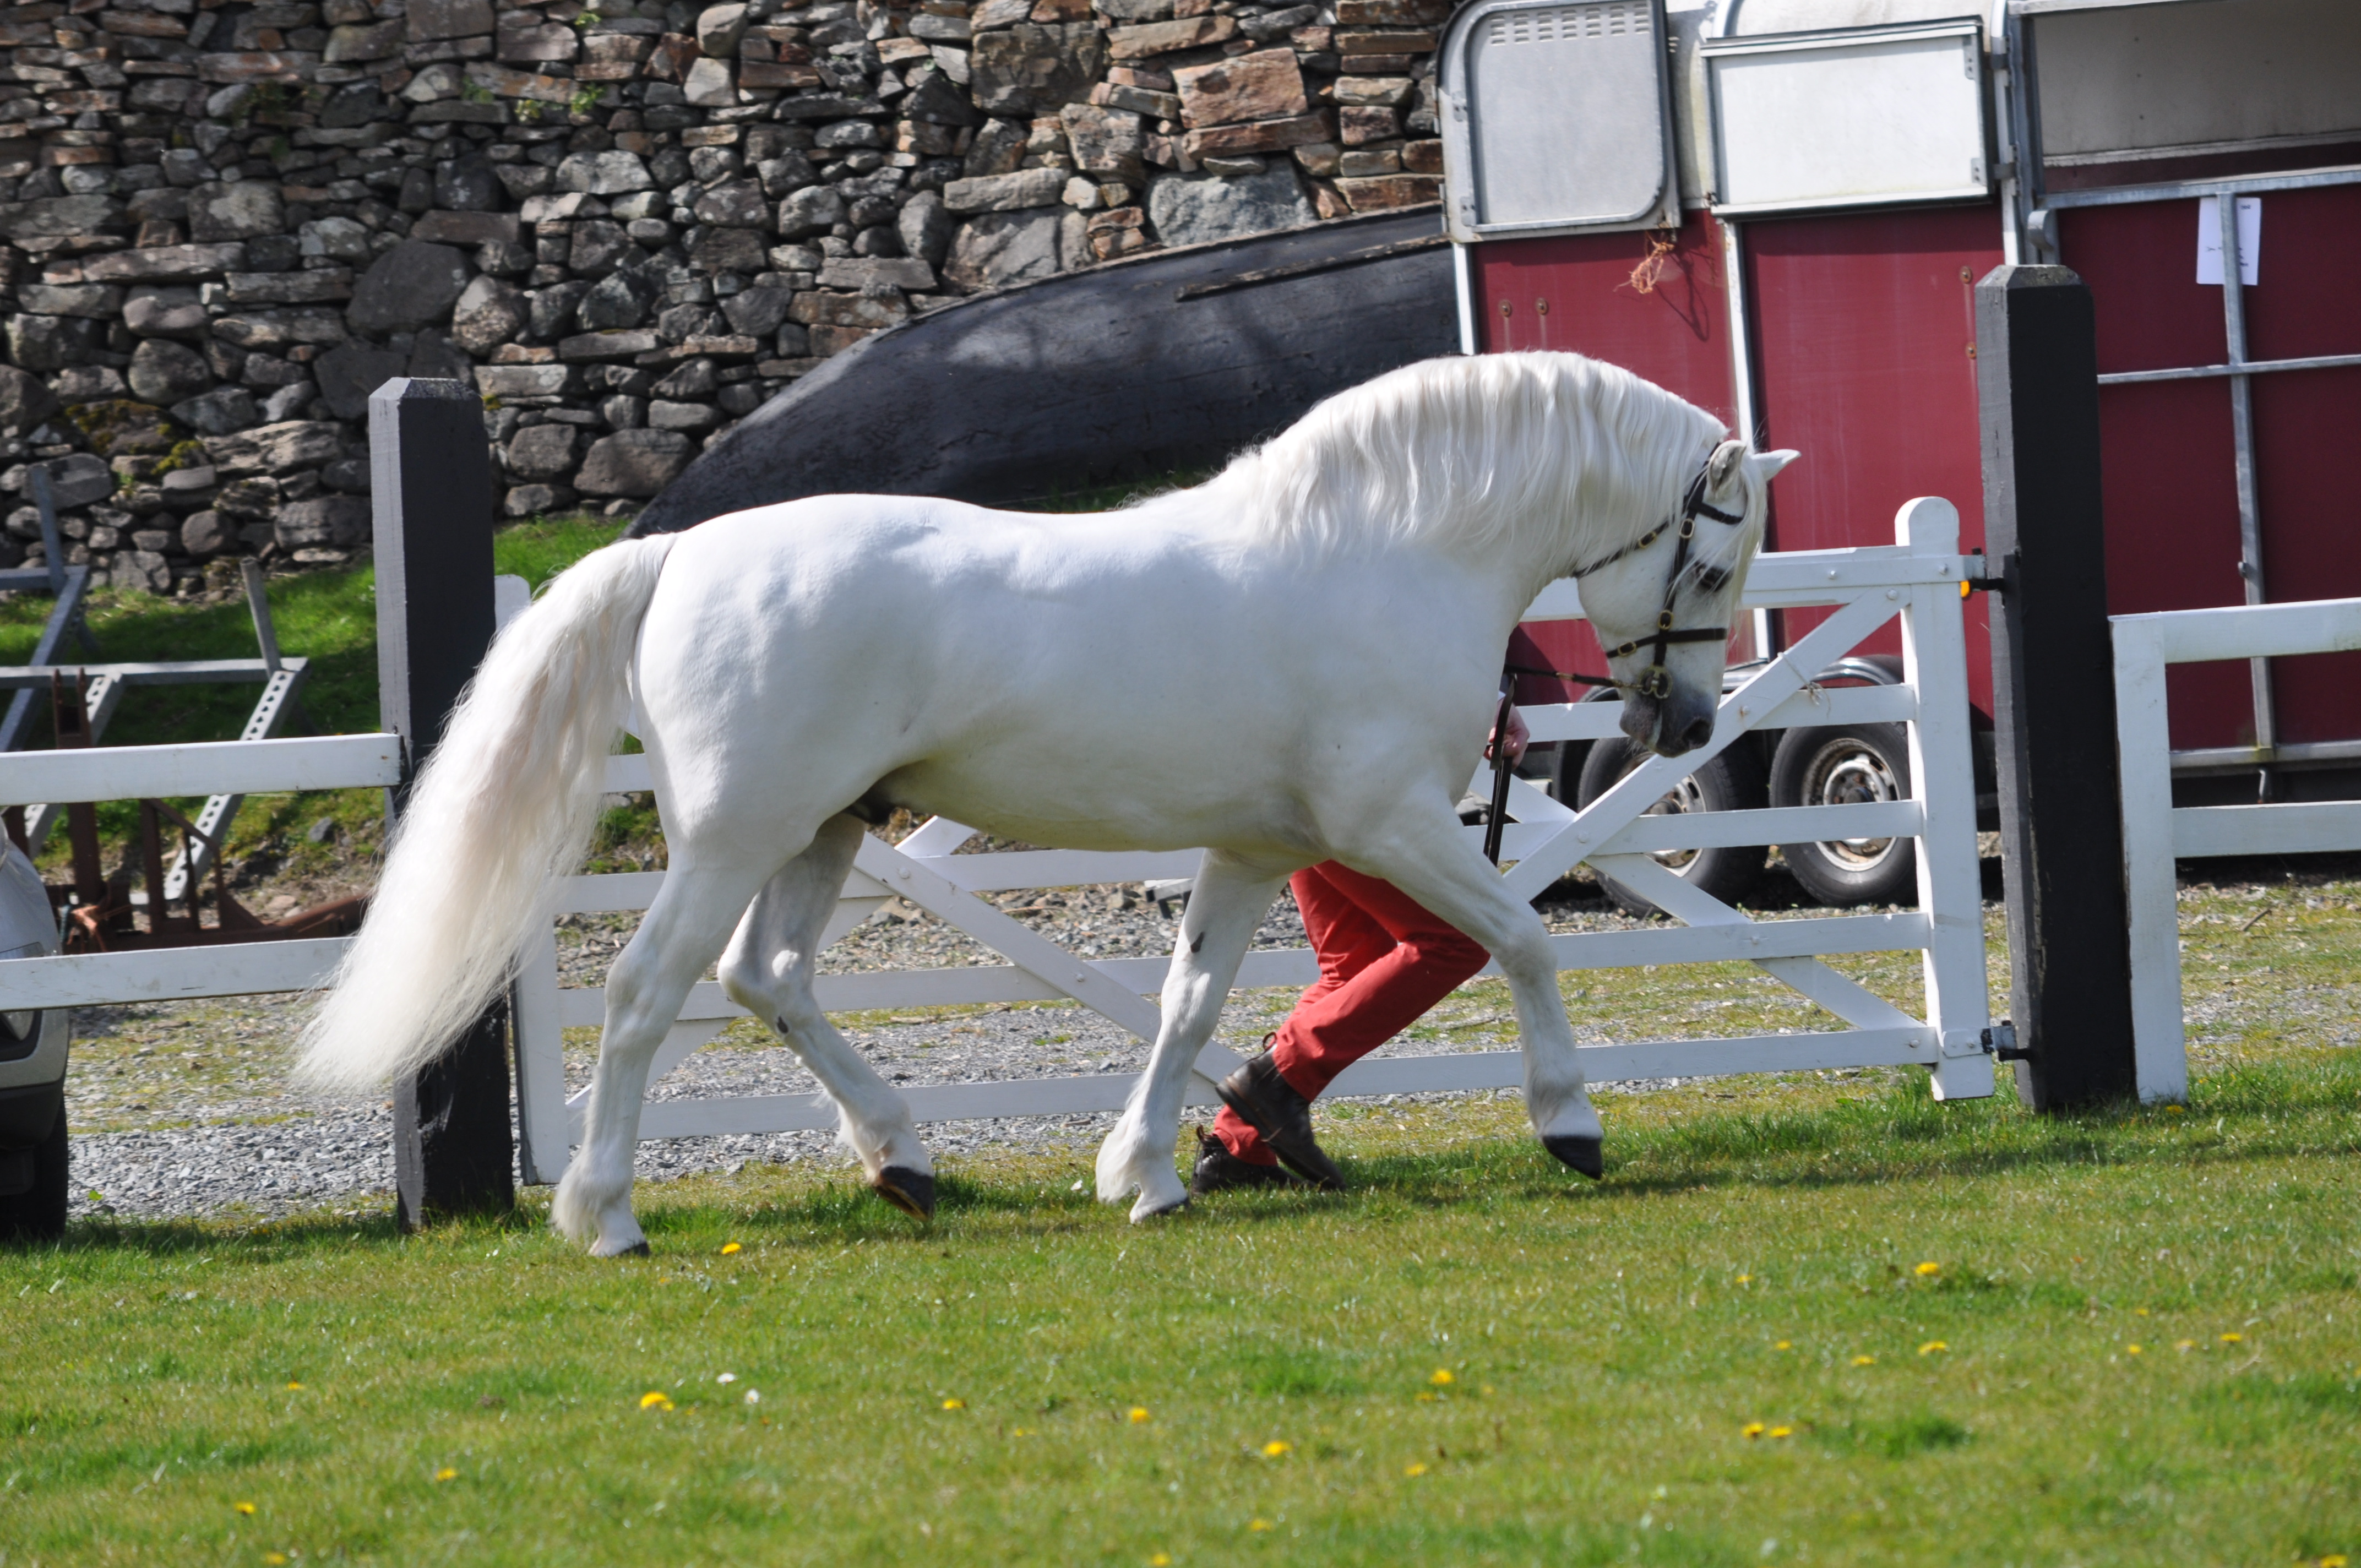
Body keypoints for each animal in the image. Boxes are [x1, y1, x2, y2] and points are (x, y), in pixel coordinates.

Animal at [304, 352, 1794, 1246]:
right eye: (1713, 563)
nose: (1684, 724)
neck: (1381, 552)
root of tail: (677, 552)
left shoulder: (1251, 847)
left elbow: (1189, 1002)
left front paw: (1145, 1172)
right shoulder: (1394, 825)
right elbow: (1525, 939)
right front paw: (1570, 1123)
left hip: (822, 830)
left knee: (765, 978)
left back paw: (901, 1157)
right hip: (736, 835)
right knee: (645, 990)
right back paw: (609, 1212)